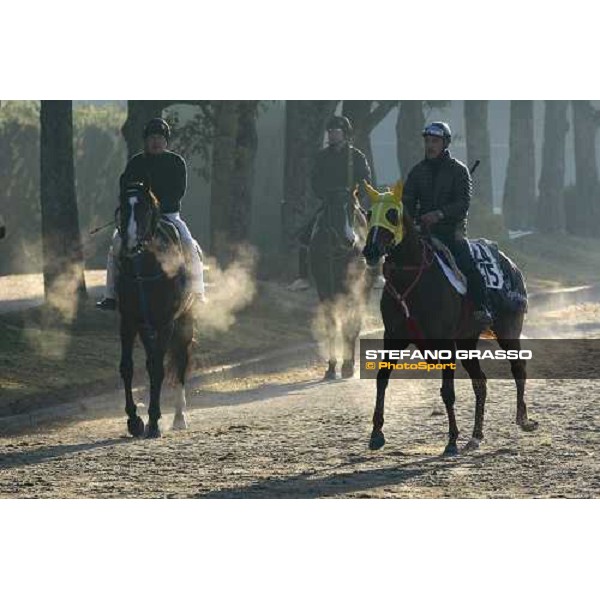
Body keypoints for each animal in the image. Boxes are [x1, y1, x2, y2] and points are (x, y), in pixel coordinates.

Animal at [116, 180, 193, 438]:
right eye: (123, 207)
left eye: (145, 209)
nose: (130, 244)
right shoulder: (129, 321)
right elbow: (127, 368)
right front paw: (135, 420)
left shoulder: (165, 322)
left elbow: (158, 369)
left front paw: (154, 420)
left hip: (184, 323)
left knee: (179, 362)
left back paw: (179, 417)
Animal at [310, 186, 376, 380]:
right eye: (333, 210)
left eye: (353, 209)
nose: (350, 240)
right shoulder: (324, 289)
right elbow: (331, 324)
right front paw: (331, 367)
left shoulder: (352, 289)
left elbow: (349, 324)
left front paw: (347, 366)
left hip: (364, 289)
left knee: (355, 321)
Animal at [360, 182, 540, 454]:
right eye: (369, 214)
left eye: (392, 214)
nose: (370, 250)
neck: (412, 281)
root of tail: (512, 265)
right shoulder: (393, 337)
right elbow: (382, 379)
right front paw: (376, 433)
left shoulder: (445, 342)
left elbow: (448, 391)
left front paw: (452, 439)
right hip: (467, 342)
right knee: (480, 382)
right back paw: (476, 436)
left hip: (508, 330)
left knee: (518, 368)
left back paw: (522, 419)